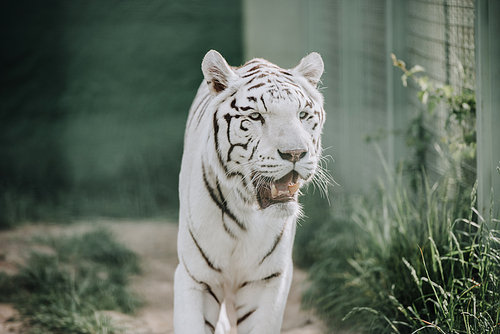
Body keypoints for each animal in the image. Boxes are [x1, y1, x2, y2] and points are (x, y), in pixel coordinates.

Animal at [174, 50, 326, 334]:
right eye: (256, 117)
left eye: (302, 114)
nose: (295, 153)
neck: (246, 209)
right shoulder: (195, 276)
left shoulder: (267, 280)